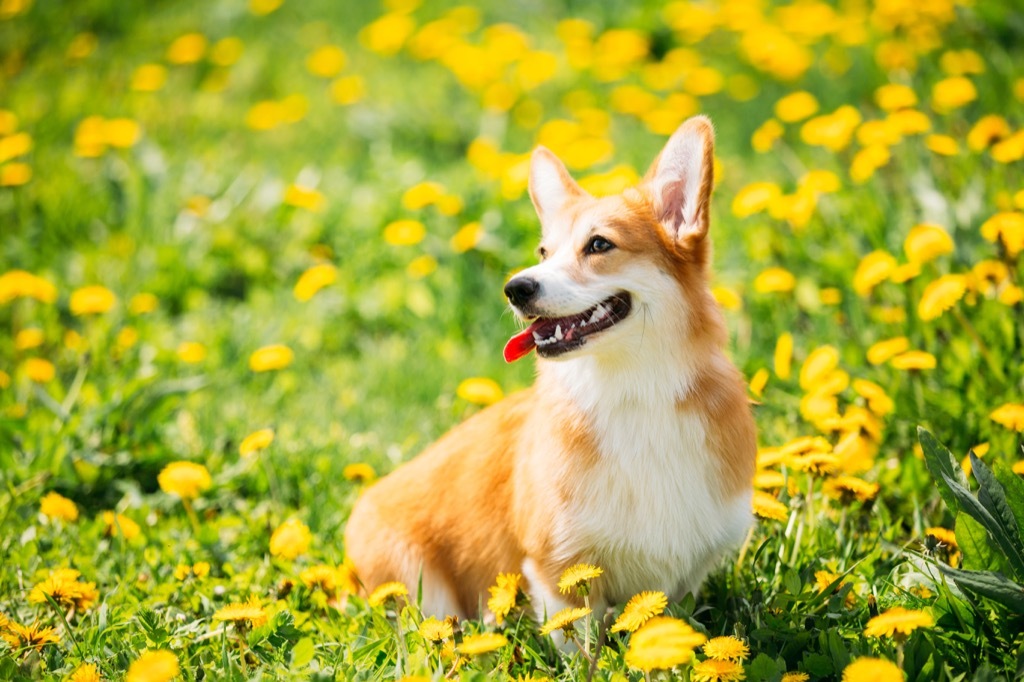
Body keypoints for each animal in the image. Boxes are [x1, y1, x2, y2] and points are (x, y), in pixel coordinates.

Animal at [348, 115, 757, 614]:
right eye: (544, 253)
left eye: (599, 244)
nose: (515, 288)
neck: (633, 392)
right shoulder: (556, 566)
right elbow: (578, 633)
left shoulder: (685, 574)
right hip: (420, 588)